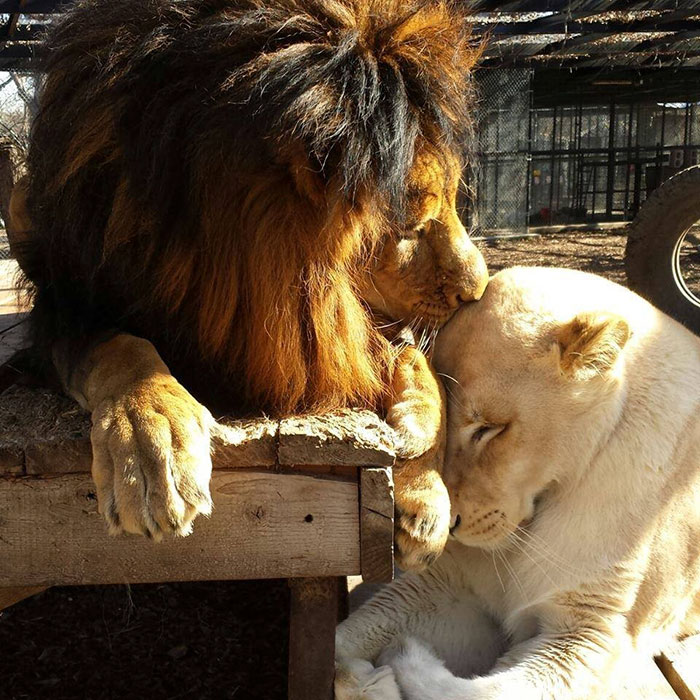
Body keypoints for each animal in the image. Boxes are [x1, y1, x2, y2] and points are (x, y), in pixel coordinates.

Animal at [12, 0, 486, 566]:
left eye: (452, 200)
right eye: (412, 226)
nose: (479, 289)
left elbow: (414, 361)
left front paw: (423, 474)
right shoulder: (65, 310)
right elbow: (122, 349)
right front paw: (152, 442)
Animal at [335, 266, 700, 699]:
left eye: (491, 428)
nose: (451, 527)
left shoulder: (593, 633)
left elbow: (484, 691)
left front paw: (397, 663)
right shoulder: (450, 587)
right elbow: (348, 634)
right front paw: (353, 674)